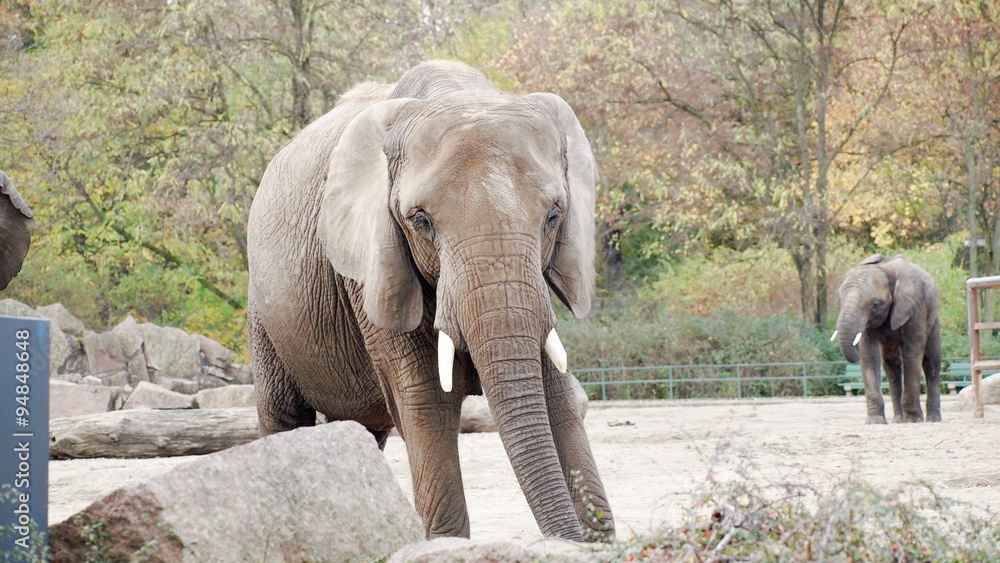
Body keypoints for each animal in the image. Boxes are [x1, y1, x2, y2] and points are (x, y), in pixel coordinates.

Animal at [246, 60, 614, 541]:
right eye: (420, 221)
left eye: (554, 214)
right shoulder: (371, 272)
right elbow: (426, 399)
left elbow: (556, 392)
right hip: (263, 310)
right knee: (284, 418)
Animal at [832, 254, 942, 424]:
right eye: (839, 301)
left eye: (875, 304)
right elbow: (870, 355)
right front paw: (874, 422)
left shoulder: (916, 310)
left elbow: (912, 355)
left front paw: (913, 420)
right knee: (892, 369)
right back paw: (898, 420)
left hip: (933, 319)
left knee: (931, 363)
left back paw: (932, 419)